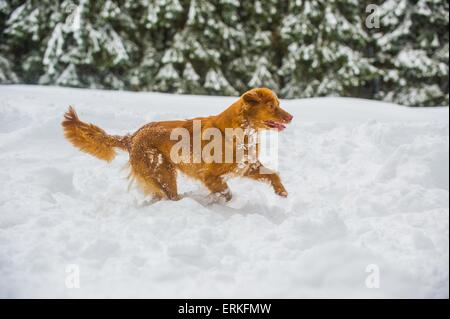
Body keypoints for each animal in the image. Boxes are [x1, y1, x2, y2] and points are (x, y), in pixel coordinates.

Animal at [61, 87, 294, 202]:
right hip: (162, 171)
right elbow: (224, 190)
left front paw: (282, 193)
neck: (240, 131)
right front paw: (219, 201)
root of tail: (132, 137)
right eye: (271, 106)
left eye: (278, 104)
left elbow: (273, 174)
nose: (291, 116)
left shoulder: (246, 165)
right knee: (168, 195)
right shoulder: (208, 175)